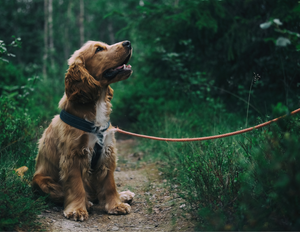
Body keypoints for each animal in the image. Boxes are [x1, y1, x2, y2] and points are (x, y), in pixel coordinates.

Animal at [32, 40, 135, 221]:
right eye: (99, 49)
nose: (128, 42)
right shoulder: (73, 155)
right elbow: (76, 185)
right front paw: (77, 210)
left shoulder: (107, 152)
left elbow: (110, 184)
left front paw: (116, 205)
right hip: (42, 180)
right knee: (62, 193)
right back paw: (87, 202)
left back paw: (123, 195)